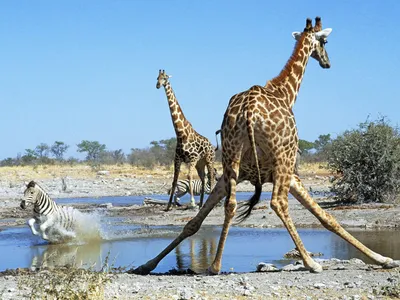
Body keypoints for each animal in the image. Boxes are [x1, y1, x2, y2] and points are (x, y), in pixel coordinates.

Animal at [157, 70, 216, 211]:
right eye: (157, 78)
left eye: (165, 78)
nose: (158, 85)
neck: (180, 134)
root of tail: (212, 145)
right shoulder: (177, 159)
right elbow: (174, 180)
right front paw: (168, 206)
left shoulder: (192, 158)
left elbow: (189, 176)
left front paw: (192, 203)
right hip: (200, 163)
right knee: (203, 178)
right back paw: (201, 204)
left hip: (209, 159)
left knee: (211, 176)